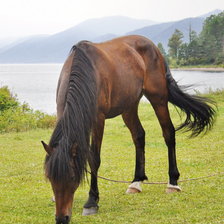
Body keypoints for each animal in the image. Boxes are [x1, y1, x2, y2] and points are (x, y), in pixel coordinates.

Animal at [40, 35, 215, 224]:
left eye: (73, 177)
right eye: (50, 177)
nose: (61, 218)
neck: (85, 74)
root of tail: (154, 48)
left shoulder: (98, 120)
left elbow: (94, 159)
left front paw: (91, 201)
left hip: (158, 98)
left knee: (168, 133)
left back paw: (173, 182)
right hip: (129, 106)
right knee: (139, 135)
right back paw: (136, 182)